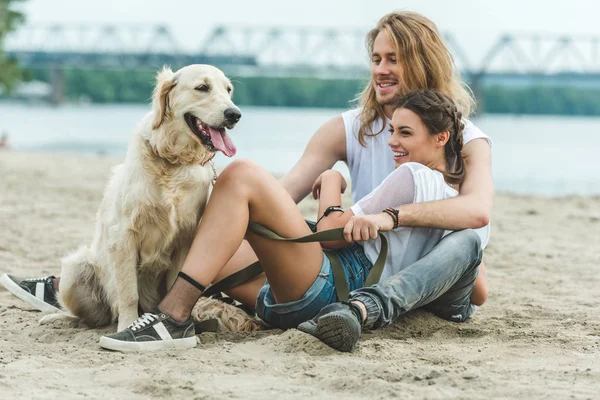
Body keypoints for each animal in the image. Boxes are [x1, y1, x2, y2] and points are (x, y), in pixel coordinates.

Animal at [42, 64, 244, 332]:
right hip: (76, 267)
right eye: (203, 87)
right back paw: (60, 319)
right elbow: (129, 293)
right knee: (94, 317)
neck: (173, 161)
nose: (235, 114)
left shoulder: (186, 238)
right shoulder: (123, 236)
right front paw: (128, 326)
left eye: (229, 90)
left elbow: (177, 285)